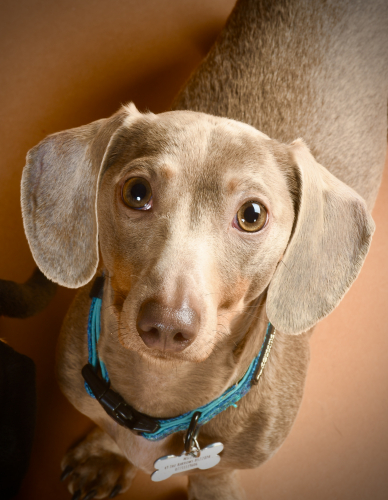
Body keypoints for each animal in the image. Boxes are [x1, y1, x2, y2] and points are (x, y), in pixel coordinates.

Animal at [19, 0, 386, 500]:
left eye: (252, 214)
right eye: (136, 192)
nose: (167, 324)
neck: (161, 393)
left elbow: (214, 475)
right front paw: (106, 454)